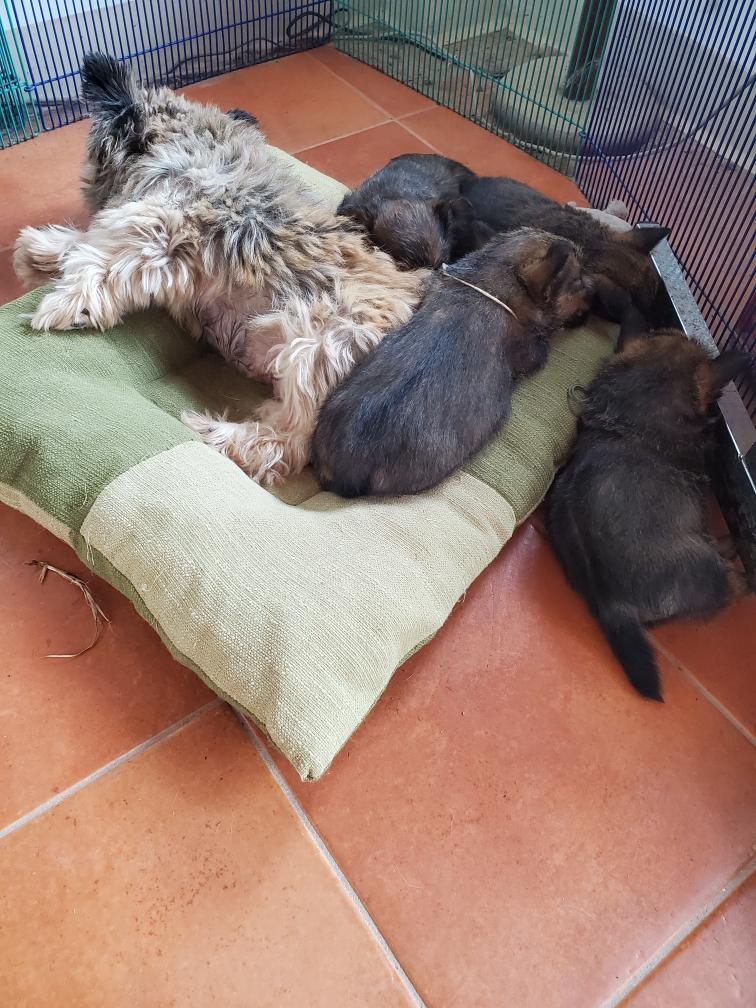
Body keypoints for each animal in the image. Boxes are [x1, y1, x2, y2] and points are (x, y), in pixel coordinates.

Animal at [13, 53, 425, 483]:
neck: (186, 142)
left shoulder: (163, 226)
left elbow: (102, 259)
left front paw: (64, 304)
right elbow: (88, 242)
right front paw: (39, 252)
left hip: (317, 349)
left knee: (283, 445)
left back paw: (214, 431)